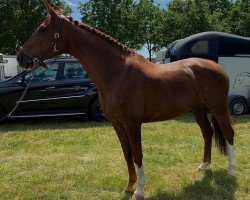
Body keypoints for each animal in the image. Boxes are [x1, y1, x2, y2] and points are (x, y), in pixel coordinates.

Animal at [16, 1, 235, 198]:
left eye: (42, 29)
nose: (20, 57)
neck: (117, 73)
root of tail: (219, 68)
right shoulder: (117, 124)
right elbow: (127, 154)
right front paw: (129, 187)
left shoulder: (132, 124)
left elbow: (137, 154)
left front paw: (140, 190)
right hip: (198, 108)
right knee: (207, 133)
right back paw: (204, 166)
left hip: (219, 107)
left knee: (228, 133)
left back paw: (231, 172)